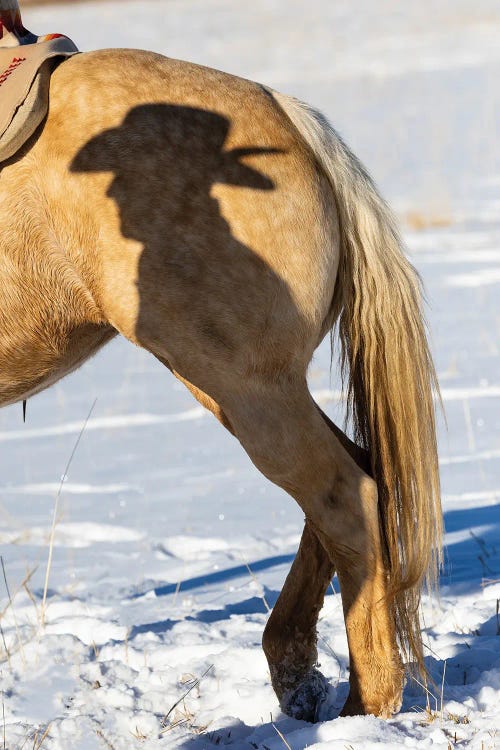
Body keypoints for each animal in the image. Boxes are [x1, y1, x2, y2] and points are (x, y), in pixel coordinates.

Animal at [0, 35, 442, 724]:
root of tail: (288, 114)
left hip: (245, 385)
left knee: (345, 497)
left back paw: (364, 705)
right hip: (244, 387)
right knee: (354, 473)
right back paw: (298, 675)